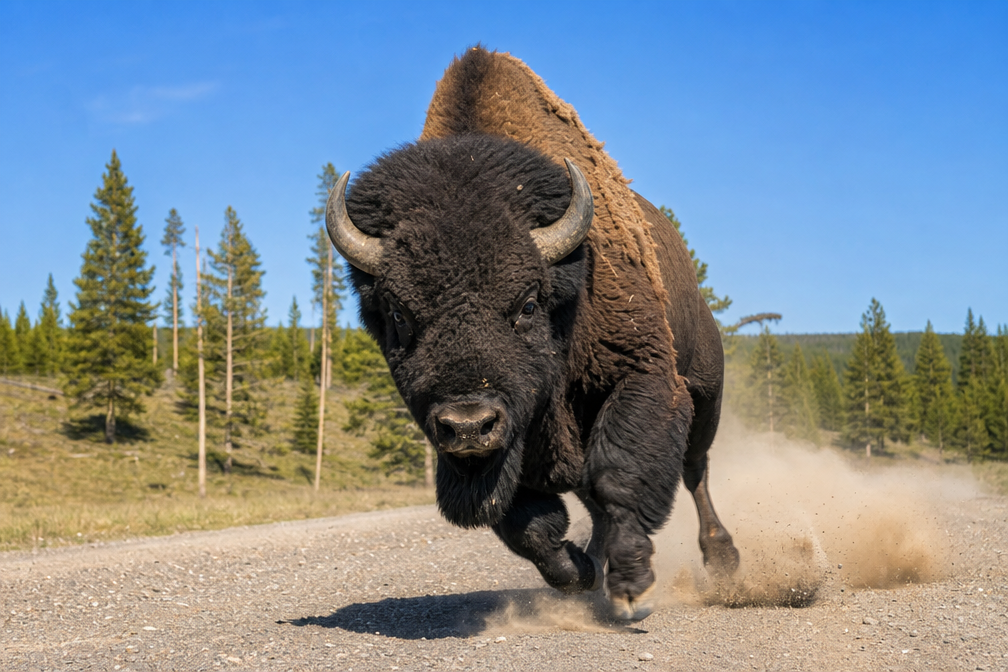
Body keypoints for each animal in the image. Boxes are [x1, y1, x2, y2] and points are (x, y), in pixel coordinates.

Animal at [326, 47, 739, 620]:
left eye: (525, 304)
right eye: (401, 315)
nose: (469, 425)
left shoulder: (645, 378)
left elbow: (619, 475)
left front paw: (632, 586)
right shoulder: (494, 450)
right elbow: (525, 523)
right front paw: (582, 571)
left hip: (705, 389)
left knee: (694, 468)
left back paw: (723, 561)